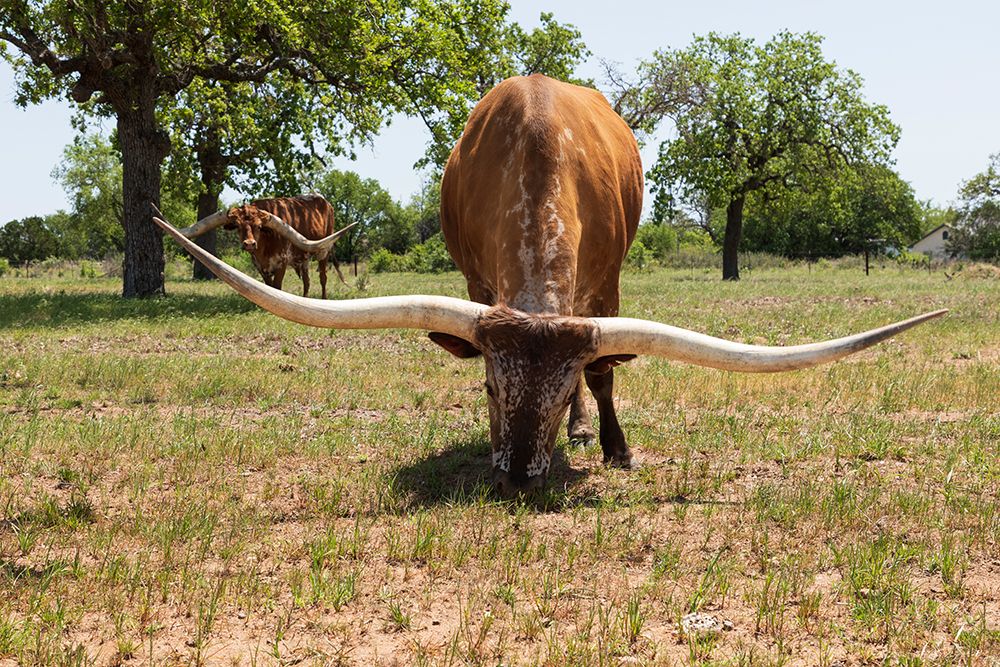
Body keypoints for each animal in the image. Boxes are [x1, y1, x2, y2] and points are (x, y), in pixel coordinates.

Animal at [170, 194, 356, 299]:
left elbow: (277, 285)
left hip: (323, 251)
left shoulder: (282, 262)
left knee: (323, 277)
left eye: (259, 226)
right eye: (237, 226)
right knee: (307, 281)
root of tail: (326, 203)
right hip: (303, 257)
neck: (265, 246)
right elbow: (268, 286)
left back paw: (323, 299)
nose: (249, 244)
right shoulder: (260, 266)